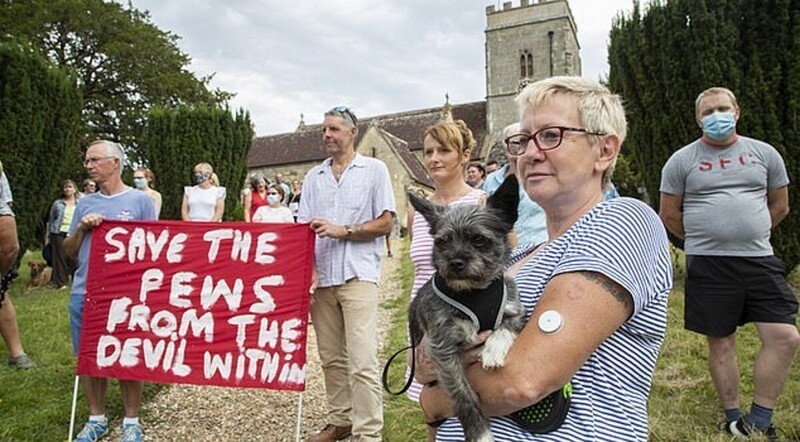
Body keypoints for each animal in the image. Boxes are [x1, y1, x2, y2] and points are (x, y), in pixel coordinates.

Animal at [406, 176, 524, 442]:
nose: (456, 263)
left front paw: (493, 351)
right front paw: (479, 432)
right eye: (442, 241)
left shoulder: (513, 308)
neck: (473, 292)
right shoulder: (442, 347)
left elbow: (506, 327)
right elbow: (463, 394)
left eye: (479, 239)